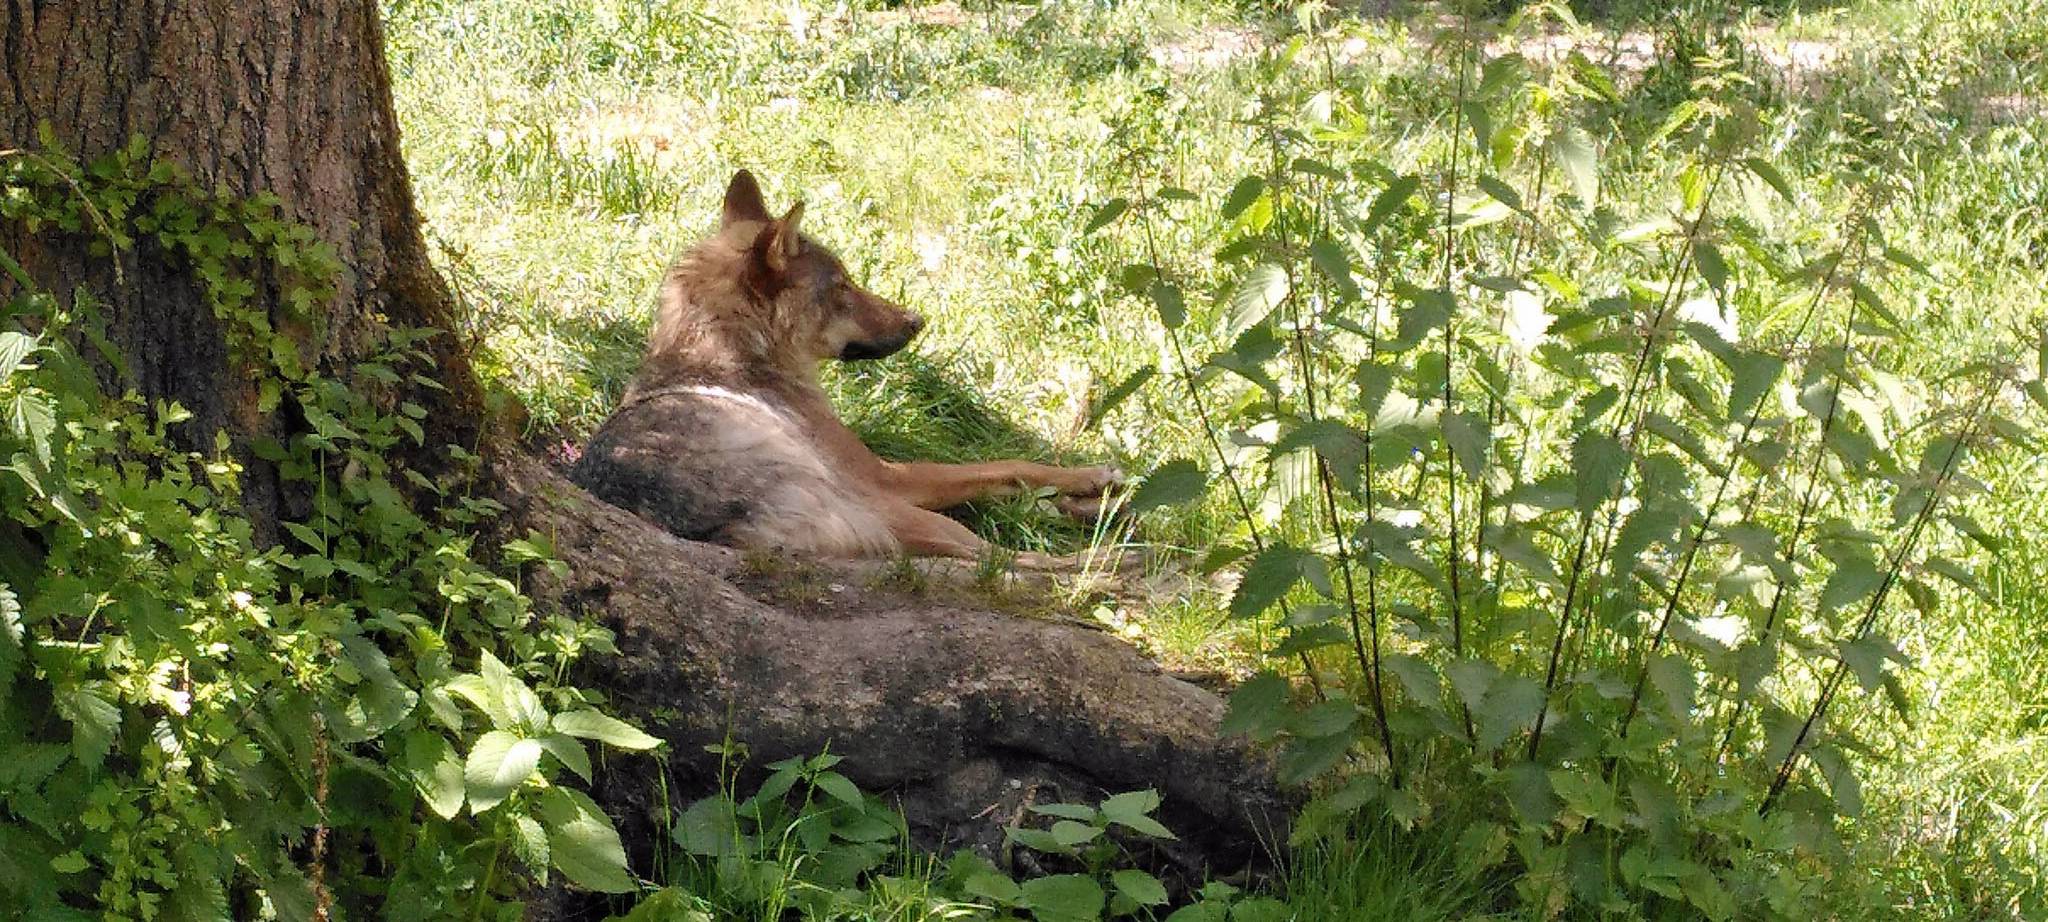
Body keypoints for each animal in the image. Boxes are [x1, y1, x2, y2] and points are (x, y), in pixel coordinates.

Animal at [572, 170, 1122, 569]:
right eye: (843, 285)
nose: (917, 321)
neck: (729, 353)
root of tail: (730, 537)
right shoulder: (887, 476)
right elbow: (1006, 465)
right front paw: (1095, 475)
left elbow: (1009, 479)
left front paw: (1093, 490)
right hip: (887, 509)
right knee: (1020, 562)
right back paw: (1112, 559)